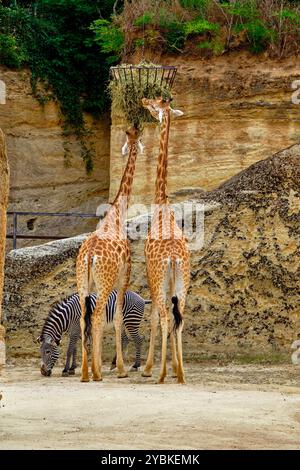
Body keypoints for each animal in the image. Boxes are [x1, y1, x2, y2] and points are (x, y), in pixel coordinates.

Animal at [75, 126, 141, 382]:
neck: (117, 214)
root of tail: (90, 255)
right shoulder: (124, 274)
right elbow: (118, 317)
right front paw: (120, 368)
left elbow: (103, 319)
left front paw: (101, 366)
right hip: (104, 280)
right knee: (94, 317)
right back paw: (95, 373)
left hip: (83, 280)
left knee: (85, 317)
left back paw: (86, 373)